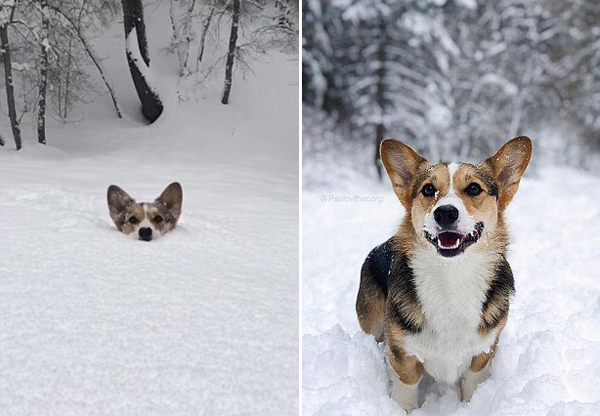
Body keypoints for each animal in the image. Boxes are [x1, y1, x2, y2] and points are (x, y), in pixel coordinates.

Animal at [354, 137, 532, 412]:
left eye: (473, 188)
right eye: (428, 189)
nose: (445, 212)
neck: (452, 277)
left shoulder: (483, 351)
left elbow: (472, 383)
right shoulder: (402, 353)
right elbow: (407, 386)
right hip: (372, 323)